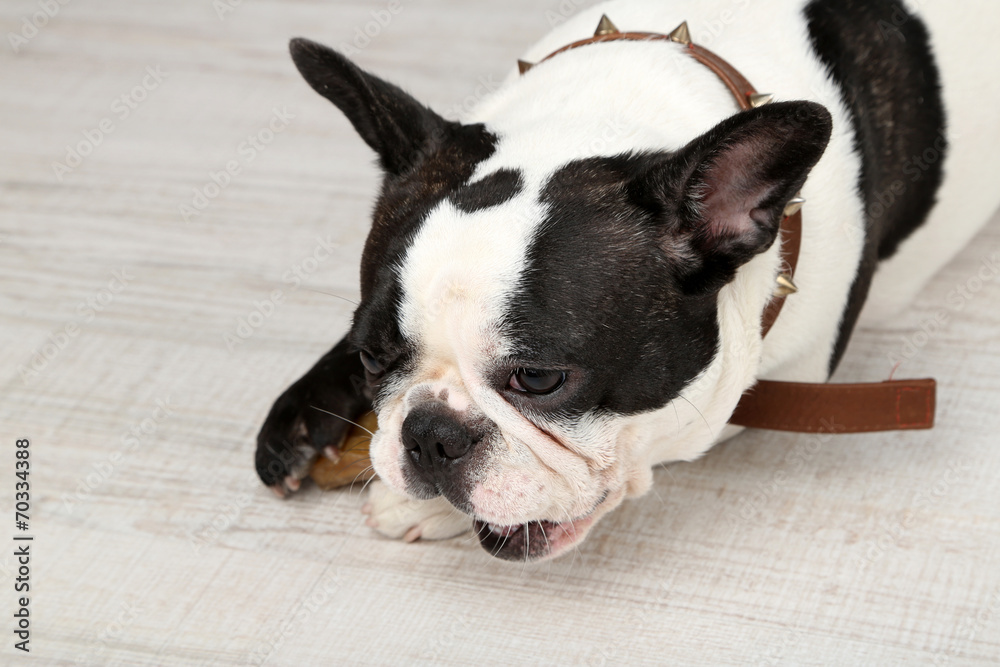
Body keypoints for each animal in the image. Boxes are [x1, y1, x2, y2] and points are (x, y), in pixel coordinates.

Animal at [256, 0, 1000, 560]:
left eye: (539, 379)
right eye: (371, 355)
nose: (430, 435)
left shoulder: (763, 388)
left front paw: (421, 508)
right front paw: (302, 414)